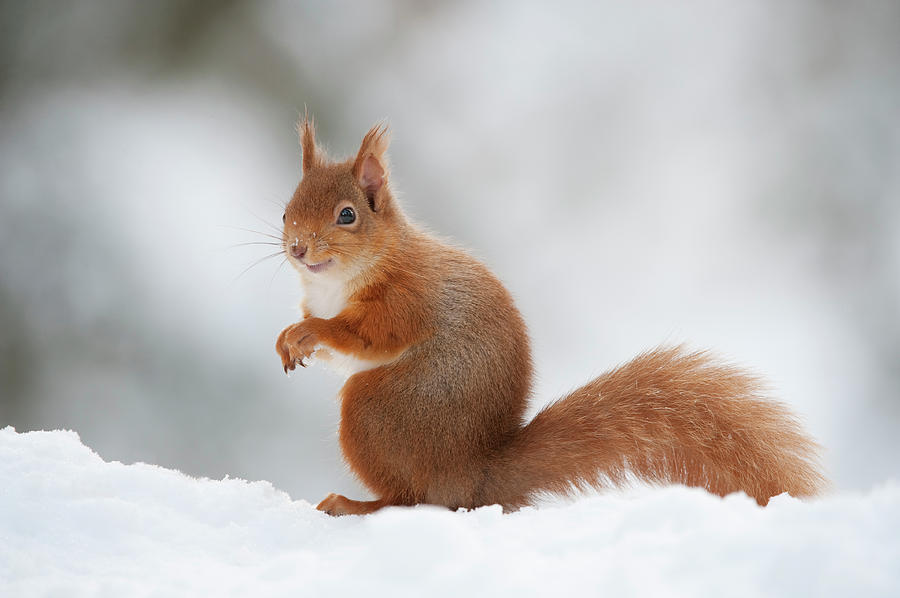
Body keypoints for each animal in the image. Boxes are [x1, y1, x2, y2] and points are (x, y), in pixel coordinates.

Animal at [276, 119, 828, 516]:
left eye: (348, 215)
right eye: (285, 212)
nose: (298, 247)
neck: (338, 281)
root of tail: (470, 477)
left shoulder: (407, 299)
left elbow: (365, 336)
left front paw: (312, 332)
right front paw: (289, 339)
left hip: (377, 412)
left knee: (411, 499)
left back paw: (356, 505)